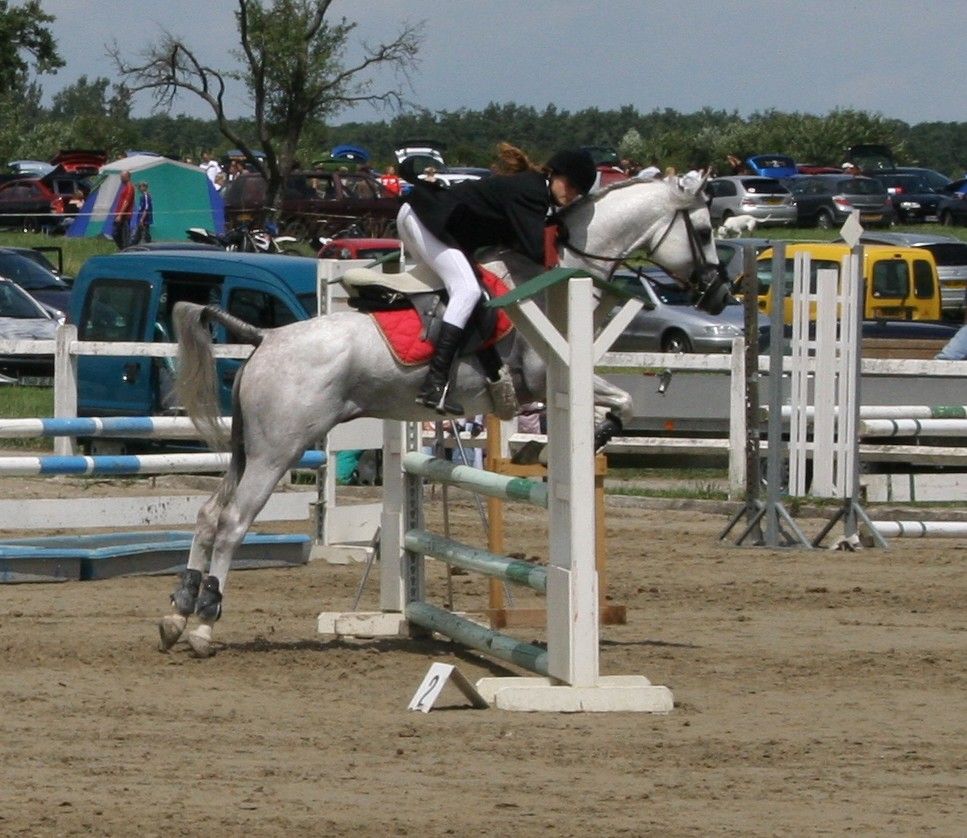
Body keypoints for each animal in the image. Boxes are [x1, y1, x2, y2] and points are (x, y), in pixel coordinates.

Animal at [159, 177, 726, 657]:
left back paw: (178, 615)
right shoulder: (543, 377)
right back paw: (205, 625)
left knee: (209, 515)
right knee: (233, 522)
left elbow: (624, 401)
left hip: (247, 448)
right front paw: (598, 435)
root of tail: (267, 336)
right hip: (278, 450)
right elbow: (625, 401)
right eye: (703, 231)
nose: (718, 295)